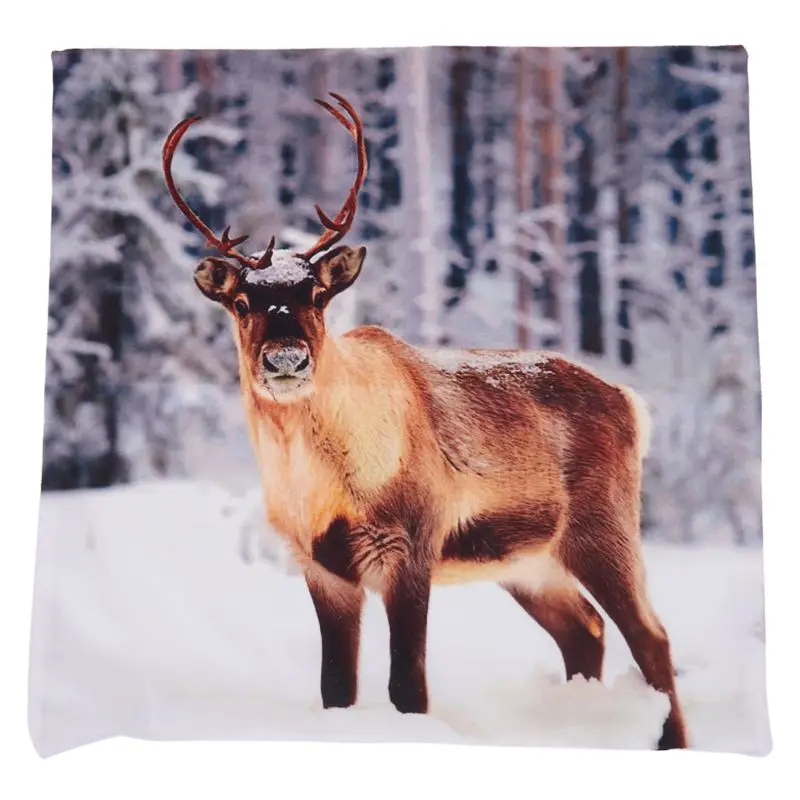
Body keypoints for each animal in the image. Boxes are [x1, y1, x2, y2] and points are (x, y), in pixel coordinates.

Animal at [162, 92, 688, 750]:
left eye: (318, 297)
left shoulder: (411, 545)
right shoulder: (323, 567)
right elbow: (336, 690)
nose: (286, 359)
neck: (322, 484)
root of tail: (630, 402)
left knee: (651, 636)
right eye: (240, 303)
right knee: (585, 629)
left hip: (604, 528)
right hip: (528, 563)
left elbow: (407, 688)